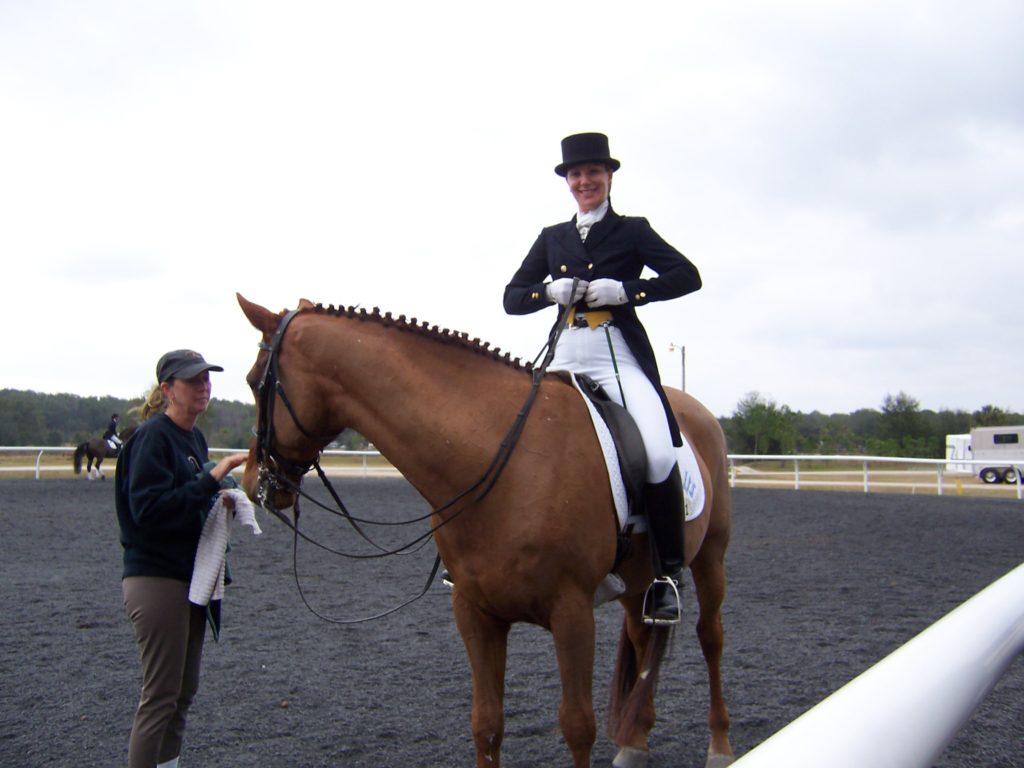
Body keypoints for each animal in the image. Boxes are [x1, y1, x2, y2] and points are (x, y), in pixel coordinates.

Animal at [237, 296, 737, 768]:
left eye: (253, 380)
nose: (251, 482)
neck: (505, 458)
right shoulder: (475, 612)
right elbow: (486, 724)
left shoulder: (573, 612)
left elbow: (578, 726)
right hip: (637, 582)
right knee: (641, 636)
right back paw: (634, 742)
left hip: (711, 557)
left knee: (710, 637)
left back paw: (719, 745)